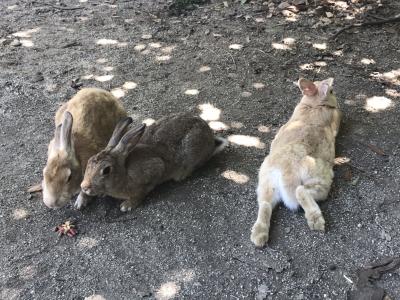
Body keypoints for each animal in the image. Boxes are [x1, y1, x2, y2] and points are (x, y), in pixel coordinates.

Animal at [250, 78, 340, 247]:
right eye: (331, 91)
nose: (336, 100)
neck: (314, 104)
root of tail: (287, 172)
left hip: (267, 181)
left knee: (265, 204)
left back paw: (258, 236)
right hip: (321, 178)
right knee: (300, 191)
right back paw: (316, 221)